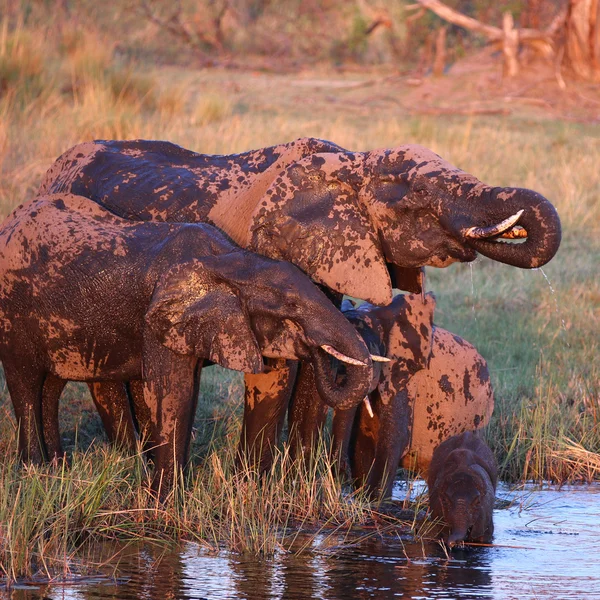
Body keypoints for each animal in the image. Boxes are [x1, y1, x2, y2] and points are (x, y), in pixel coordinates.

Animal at [0, 195, 376, 494]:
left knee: (51, 387)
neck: (232, 259)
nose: (317, 348)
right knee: (26, 385)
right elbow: (173, 392)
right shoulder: (158, 317)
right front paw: (164, 499)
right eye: (291, 306)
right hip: (12, 314)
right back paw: (34, 469)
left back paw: (57, 467)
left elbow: (189, 392)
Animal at [38, 138, 564, 472]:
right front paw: (255, 485)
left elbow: (320, 362)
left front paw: (301, 484)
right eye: (416, 194)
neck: (351, 162)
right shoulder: (269, 255)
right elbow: (277, 366)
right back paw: (127, 461)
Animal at [290, 292, 492, 500]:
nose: (339, 478)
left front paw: (377, 500)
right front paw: (364, 497)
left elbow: (394, 439)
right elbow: (361, 444)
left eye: (370, 360)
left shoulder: (405, 380)